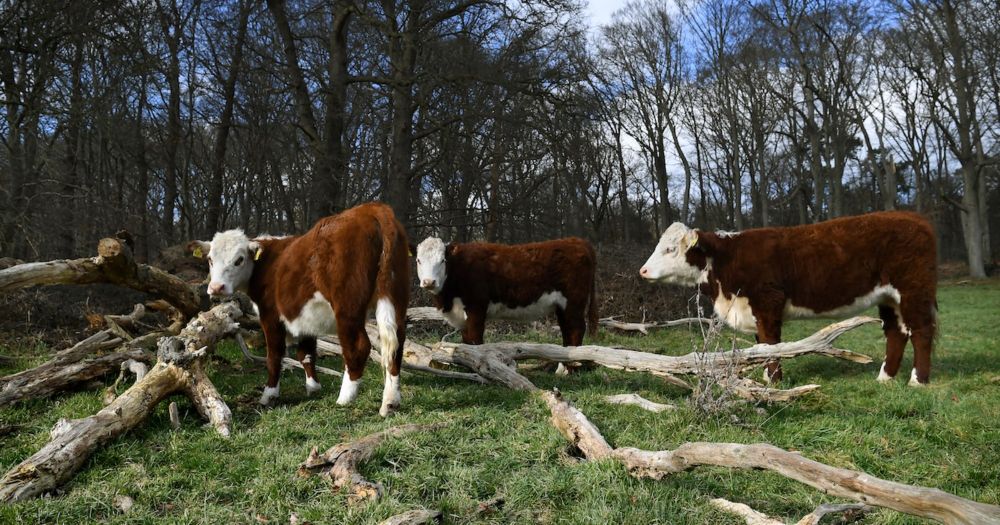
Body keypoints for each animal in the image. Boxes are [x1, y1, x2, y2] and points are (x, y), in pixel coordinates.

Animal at [188, 203, 410, 416]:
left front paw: (269, 395)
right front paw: (313, 388)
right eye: (210, 259)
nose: (216, 287)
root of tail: (373, 209)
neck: (266, 263)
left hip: (348, 307)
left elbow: (274, 355)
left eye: (239, 259)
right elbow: (306, 353)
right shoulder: (306, 317)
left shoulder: (270, 315)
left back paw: (345, 397)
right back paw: (391, 402)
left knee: (358, 347)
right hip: (396, 298)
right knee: (396, 345)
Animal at [412, 236, 596, 344]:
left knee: (576, 329)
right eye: (418, 260)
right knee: (567, 329)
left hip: (574, 301)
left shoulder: (476, 308)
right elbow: (466, 341)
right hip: (562, 306)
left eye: (442, 260)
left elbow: (475, 339)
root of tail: (576, 241)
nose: (429, 282)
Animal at [640, 210, 936, 384]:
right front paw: (766, 376)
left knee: (921, 331)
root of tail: (914, 217)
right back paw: (885, 377)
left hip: (914, 290)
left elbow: (770, 343)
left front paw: (773, 380)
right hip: (890, 298)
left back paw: (917, 380)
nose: (642, 270)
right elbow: (760, 345)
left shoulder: (767, 302)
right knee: (897, 332)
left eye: (670, 249)